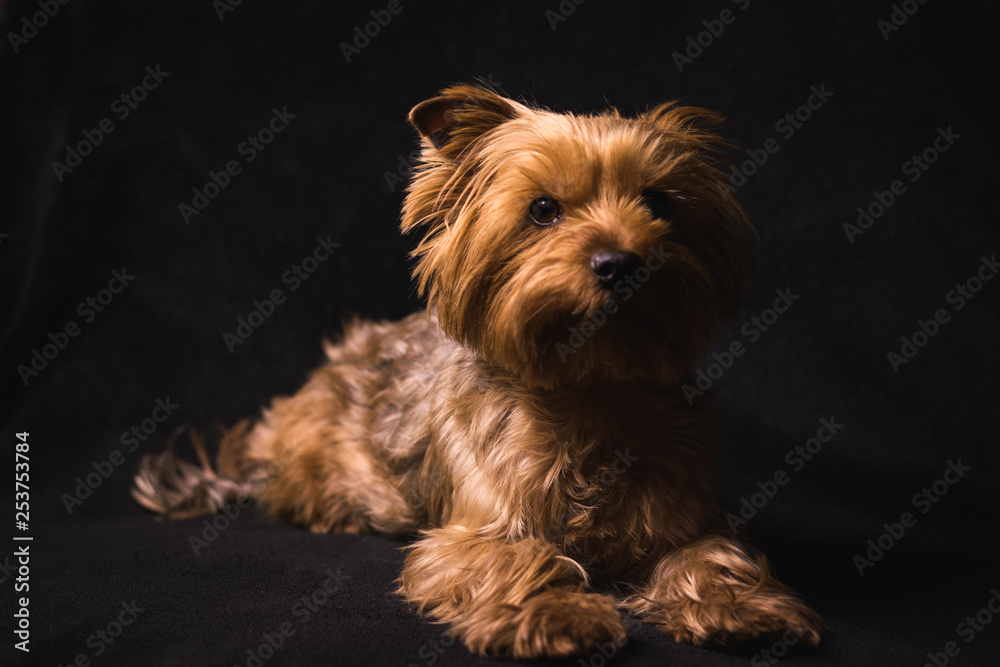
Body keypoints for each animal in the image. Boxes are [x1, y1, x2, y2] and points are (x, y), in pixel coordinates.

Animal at [133, 83, 824, 656]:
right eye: (543, 209)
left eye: (658, 204)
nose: (621, 261)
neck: (590, 388)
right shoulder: (473, 533)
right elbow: (515, 563)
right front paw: (557, 614)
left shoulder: (686, 520)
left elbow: (711, 556)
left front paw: (739, 607)